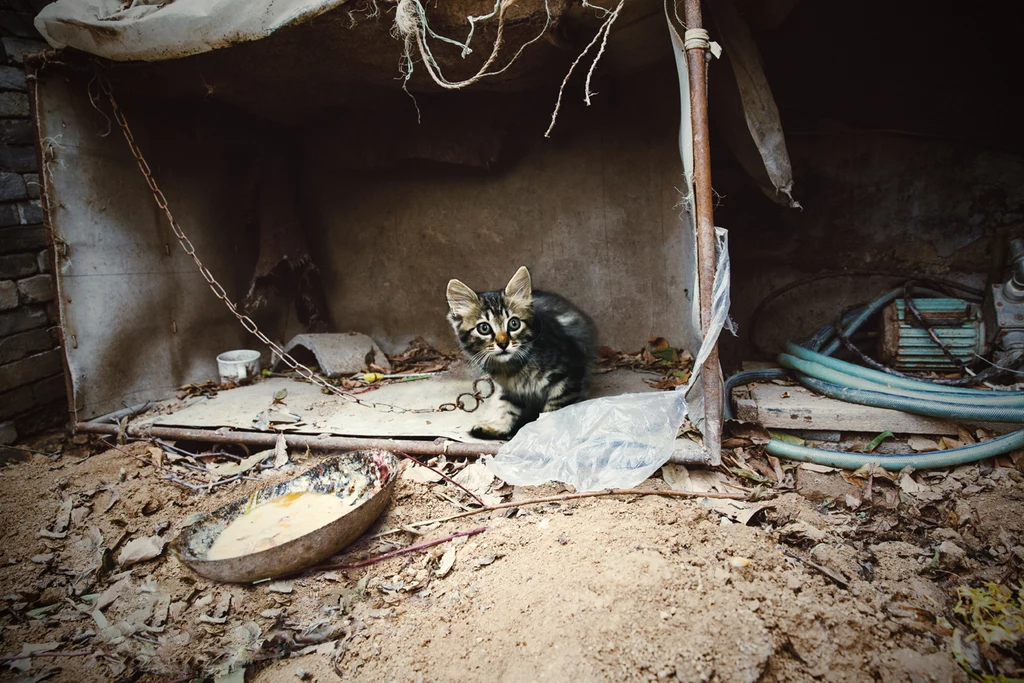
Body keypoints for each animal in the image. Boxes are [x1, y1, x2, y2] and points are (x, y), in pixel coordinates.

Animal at [444, 264, 598, 440]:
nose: (503, 344)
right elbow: (506, 407)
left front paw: (546, 431)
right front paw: (498, 427)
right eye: (484, 328)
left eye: (514, 324)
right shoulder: (508, 388)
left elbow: (554, 410)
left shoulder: (569, 375)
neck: (512, 367)